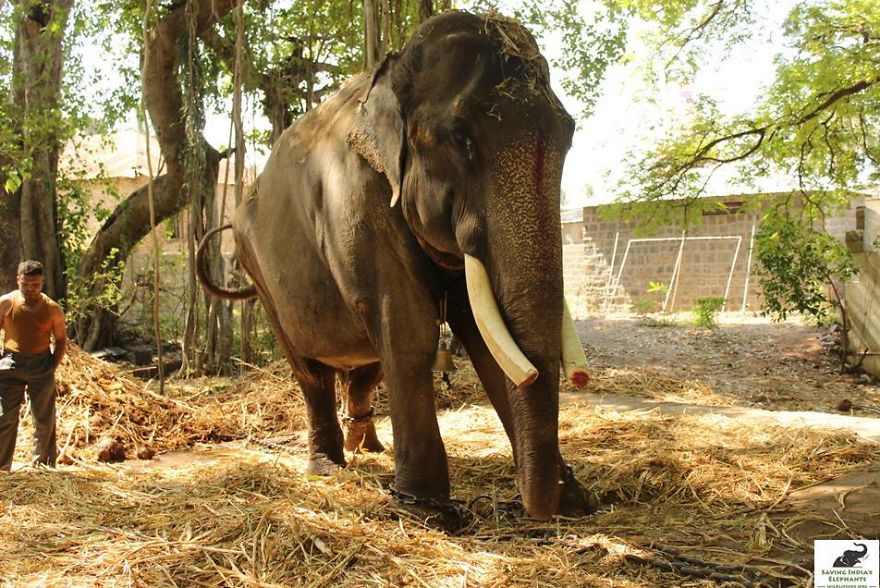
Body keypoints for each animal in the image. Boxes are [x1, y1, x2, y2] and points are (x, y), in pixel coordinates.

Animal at [196, 11, 593, 527]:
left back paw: (367, 445)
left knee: (366, 366)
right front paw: (426, 511)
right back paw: (328, 466)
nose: (542, 505)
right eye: (461, 137)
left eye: (569, 134)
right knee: (310, 371)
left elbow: (484, 337)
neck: (391, 72)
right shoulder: (355, 196)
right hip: (258, 272)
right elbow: (408, 328)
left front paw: (576, 501)